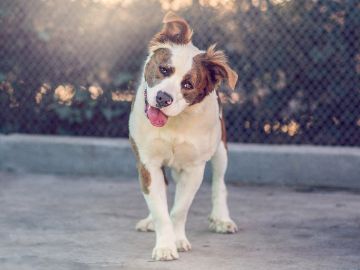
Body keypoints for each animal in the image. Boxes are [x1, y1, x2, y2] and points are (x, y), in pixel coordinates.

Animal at [129, 11, 239, 260]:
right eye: (164, 69)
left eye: (188, 84)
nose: (163, 98)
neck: (175, 121)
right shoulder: (148, 163)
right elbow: (160, 209)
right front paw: (165, 245)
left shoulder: (193, 168)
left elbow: (179, 210)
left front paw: (177, 240)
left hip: (221, 149)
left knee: (220, 183)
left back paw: (222, 219)